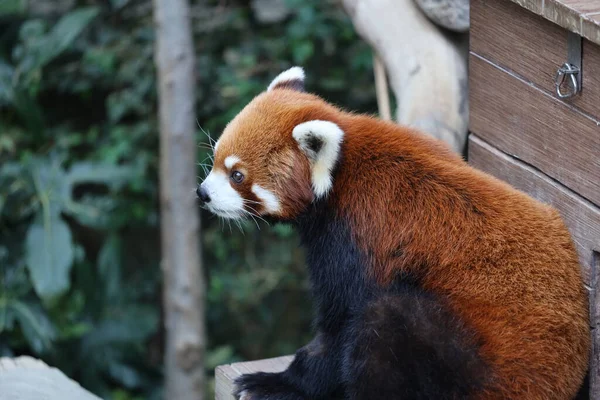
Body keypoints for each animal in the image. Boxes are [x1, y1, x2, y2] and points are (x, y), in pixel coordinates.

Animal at [198, 67, 592, 398]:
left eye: (237, 175)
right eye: (215, 159)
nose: (202, 193)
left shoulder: (356, 239)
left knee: (383, 323)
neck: (340, 173)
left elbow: (339, 325)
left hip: (474, 361)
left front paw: (281, 382)